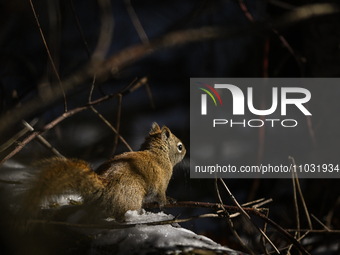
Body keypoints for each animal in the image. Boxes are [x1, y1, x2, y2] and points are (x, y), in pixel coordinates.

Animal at [20, 122, 186, 222]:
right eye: (179, 147)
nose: (185, 151)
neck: (159, 155)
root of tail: (102, 190)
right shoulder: (162, 181)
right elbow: (161, 196)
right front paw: (169, 200)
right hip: (130, 197)